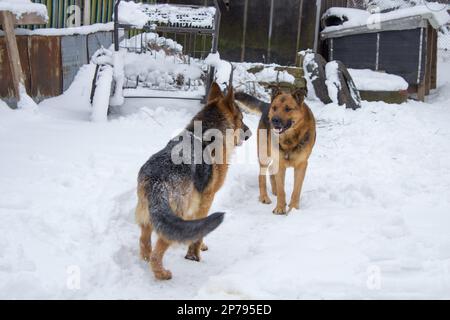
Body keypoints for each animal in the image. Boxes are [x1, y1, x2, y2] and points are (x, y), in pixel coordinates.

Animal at [236, 87, 316, 215]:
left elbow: (296, 190)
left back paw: (274, 191)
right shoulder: (280, 163)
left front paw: (293, 208)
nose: (274, 120)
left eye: (288, 109)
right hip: (264, 155)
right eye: (275, 108)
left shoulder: (301, 165)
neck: (289, 138)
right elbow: (281, 189)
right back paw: (264, 197)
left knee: (271, 170)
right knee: (262, 176)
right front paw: (280, 207)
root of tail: (267, 105)